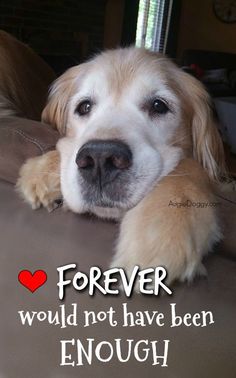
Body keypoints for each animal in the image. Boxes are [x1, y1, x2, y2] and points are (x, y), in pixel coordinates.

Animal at [16, 45, 227, 284]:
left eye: (158, 105)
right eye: (84, 106)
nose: (100, 159)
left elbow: (189, 168)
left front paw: (160, 231)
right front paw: (41, 170)